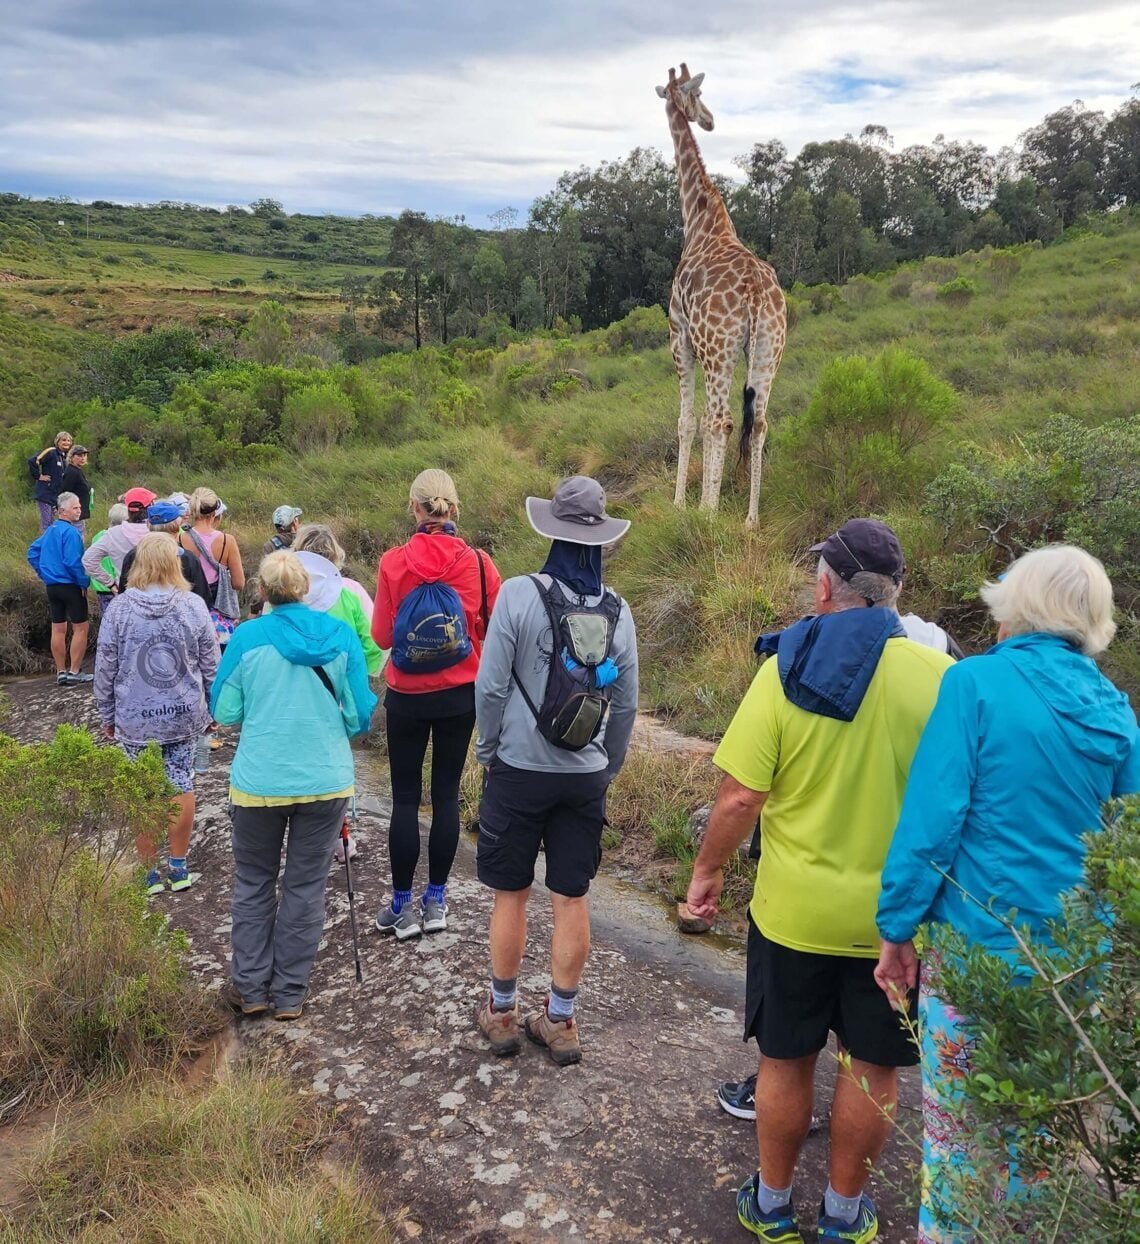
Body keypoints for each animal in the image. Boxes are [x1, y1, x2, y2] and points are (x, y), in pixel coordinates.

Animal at [657, 65, 781, 527]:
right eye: (699, 95)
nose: (709, 120)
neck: (699, 220)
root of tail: (757, 293)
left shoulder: (680, 338)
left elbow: (687, 421)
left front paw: (683, 503)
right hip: (767, 350)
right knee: (757, 423)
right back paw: (750, 520)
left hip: (718, 348)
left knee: (720, 420)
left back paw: (709, 514)